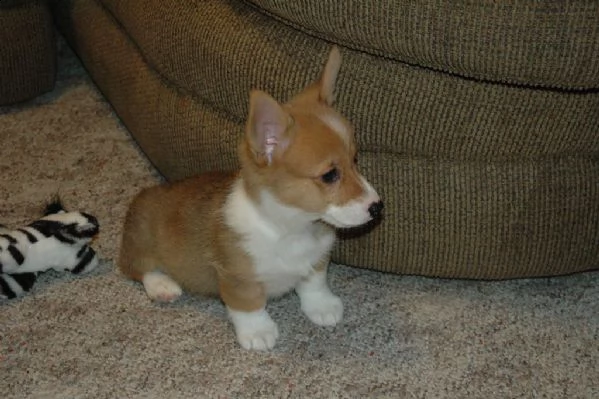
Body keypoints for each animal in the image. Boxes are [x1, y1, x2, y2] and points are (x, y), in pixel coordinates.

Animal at [118, 48, 384, 352]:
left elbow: (313, 282)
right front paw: (258, 332)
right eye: (330, 175)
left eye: (355, 159)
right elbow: (249, 306)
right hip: (141, 242)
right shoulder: (237, 278)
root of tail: (143, 196)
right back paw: (162, 285)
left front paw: (322, 306)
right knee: (135, 268)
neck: (291, 227)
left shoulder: (317, 259)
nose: (378, 207)